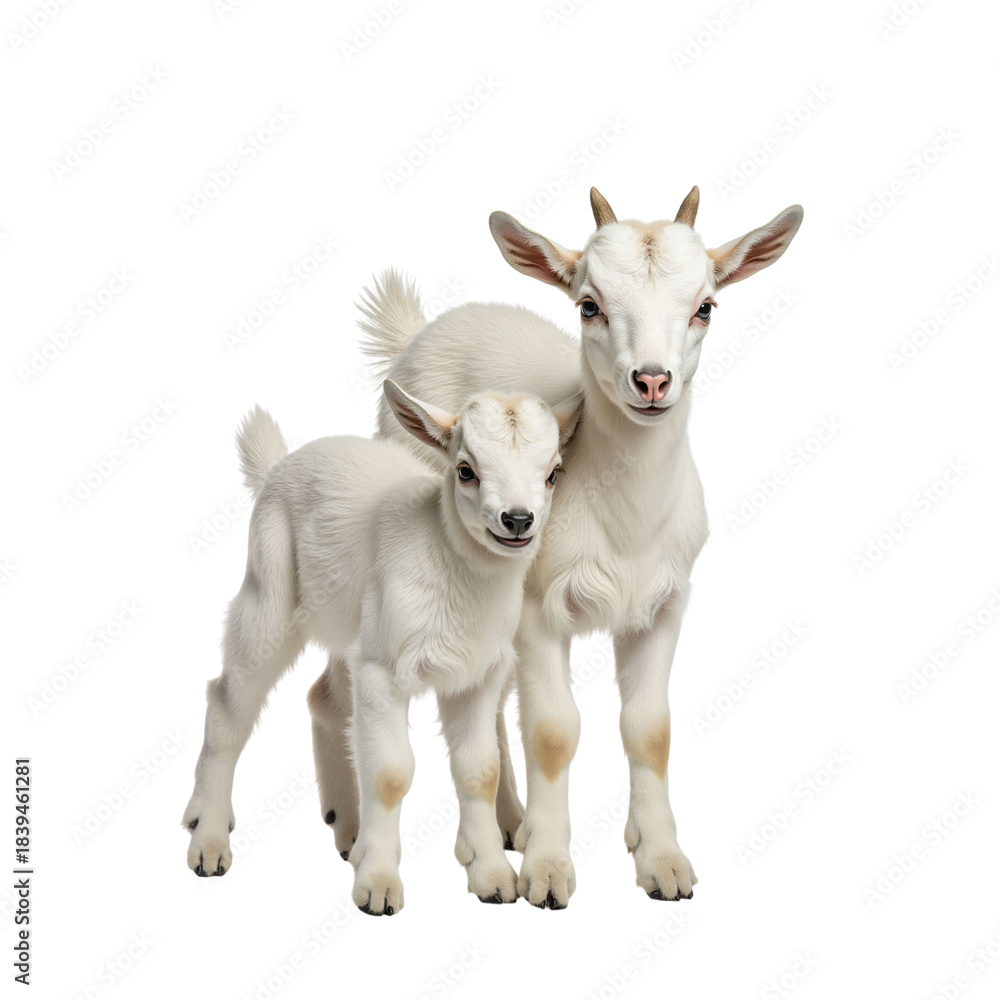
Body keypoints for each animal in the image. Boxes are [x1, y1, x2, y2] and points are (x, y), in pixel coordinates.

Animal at [182, 380, 583, 914]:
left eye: (553, 473)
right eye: (465, 470)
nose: (517, 519)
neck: (446, 556)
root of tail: (277, 465)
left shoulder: (479, 674)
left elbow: (481, 770)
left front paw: (494, 879)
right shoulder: (382, 670)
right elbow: (389, 774)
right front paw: (378, 887)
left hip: (348, 624)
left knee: (324, 698)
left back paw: (346, 827)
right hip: (268, 588)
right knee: (228, 701)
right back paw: (208, 841)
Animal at [356, 188, 803, 907]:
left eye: (705, 306)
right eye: (589, 305)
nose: (652, 381)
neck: (627, 523)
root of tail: (423, 331)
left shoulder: (666, 604)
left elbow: (650, 730)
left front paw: (662, 859)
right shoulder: (538, 610)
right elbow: (552, 731)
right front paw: (545, 869)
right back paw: (504, 831)